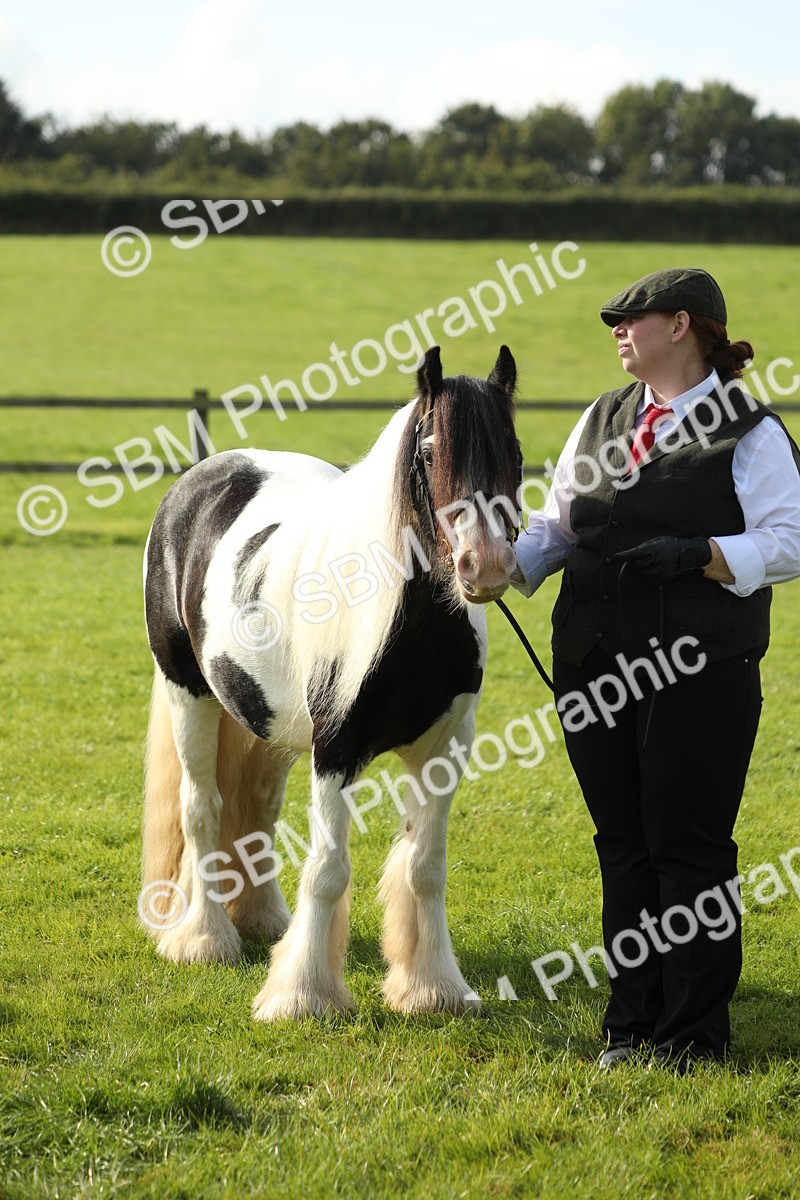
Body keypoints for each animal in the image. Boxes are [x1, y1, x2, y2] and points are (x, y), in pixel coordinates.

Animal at [141, 344, 522, 1021]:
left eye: (514, 447)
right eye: (430, 451)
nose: (486, 566)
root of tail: (200, 478)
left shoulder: (445, 751)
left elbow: (426, 866)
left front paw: (433, 988)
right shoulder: (336, 751)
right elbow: (327, 869)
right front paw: (303, 996)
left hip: (266, 724)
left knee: (256, 809)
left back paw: (262, 922)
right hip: (191, 696)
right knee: (202, 809)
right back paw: (204, 940)